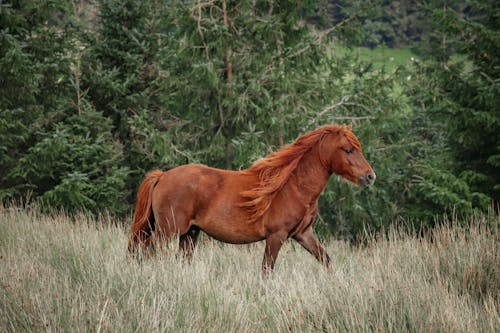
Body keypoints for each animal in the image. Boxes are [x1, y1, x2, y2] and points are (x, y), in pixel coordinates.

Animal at [129, 123, 376, 274]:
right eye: (348, 149)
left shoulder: (303, 234)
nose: (370, 176)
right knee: (148, 252)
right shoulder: (276, 236)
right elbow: (267, 270)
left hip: (189, 234)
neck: (292, 186)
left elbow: (325, 259)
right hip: (168, 231)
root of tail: (162, 176)